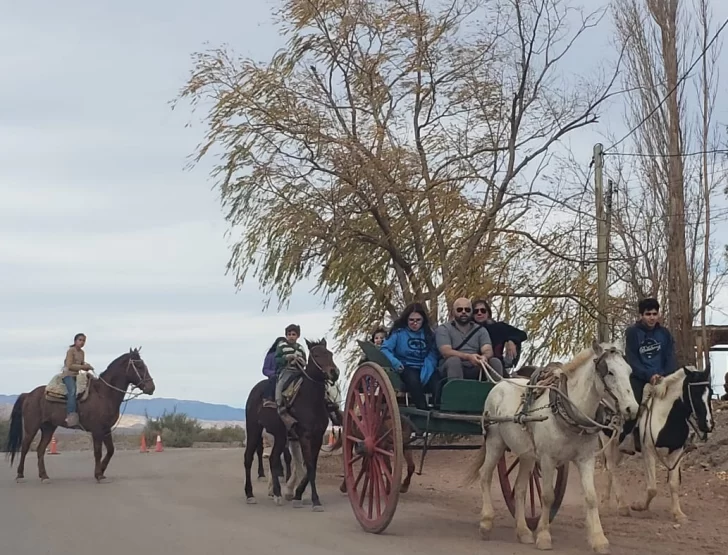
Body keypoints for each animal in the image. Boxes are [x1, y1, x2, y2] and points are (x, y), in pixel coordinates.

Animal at [6, 350, 156, 484]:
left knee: (40, 449)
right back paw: (20, 475)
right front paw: (98, 475)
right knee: (25, 447)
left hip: (48, 427)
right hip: (31, 427)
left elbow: (111, 450)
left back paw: (44, 476)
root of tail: (28, 394)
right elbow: (98, 451)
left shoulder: (106, 429)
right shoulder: (97, 430)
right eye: (139, 366)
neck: (104, 393)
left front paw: (102, 471)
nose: (151, 387)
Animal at [242, 336, 338, 510]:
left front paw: (298, 495)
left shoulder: (317, 437)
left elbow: (310, 466)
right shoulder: (305, 436)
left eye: (330, 353)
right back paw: (250, 494)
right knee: (248, 458)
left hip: (280, 436)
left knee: (273, 459)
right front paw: (314, 500)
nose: (334, 373)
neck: (309, 400)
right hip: (254, 430)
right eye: (316, 355)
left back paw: (277, 494)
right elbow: (310, 466)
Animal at [466, 340, 636, 552]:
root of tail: (501, 383)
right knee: (485, 476)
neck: (568, 411)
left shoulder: (586, 459)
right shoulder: (548, 459)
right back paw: (486, 523)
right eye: (610, 372)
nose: (632, 408)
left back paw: (523, 531)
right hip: (495, 442)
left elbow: (591, 497)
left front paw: (599, 539)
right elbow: (547, 496)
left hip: (527, 456)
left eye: (629, 371)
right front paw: (544, 535)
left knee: (520, 489)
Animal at [600, 368, 712, 524]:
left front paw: (678, 514)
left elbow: (674, 484)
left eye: (711, 393)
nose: (708, 425)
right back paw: (622, 506)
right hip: (607, 440)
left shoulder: (676, 453)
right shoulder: (648, 452)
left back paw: (605, 502)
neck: (666, 417)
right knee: (612, 468)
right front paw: (639, 506)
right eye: (695, 394)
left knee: (609, 469)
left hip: (618, 447)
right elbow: (652, 488)